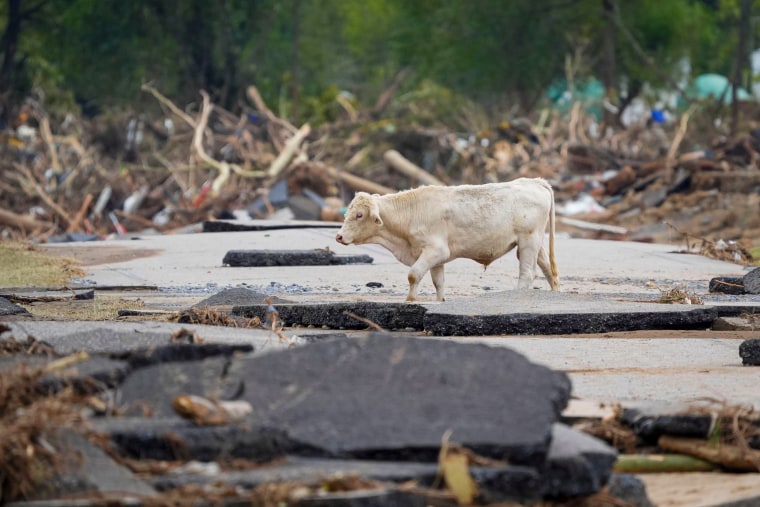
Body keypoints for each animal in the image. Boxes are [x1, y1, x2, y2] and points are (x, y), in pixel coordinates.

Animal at [336, 179, 560, 302]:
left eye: (359, 215)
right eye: (348, 212)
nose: (339, 236)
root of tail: (534, 181)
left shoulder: (436, 251)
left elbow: (413, 274)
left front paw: (410, 300)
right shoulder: (436, 258)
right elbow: (438, 283)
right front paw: (439, 300)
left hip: (528, 241)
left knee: (528, 273)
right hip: (535, 242)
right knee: (548, 270)